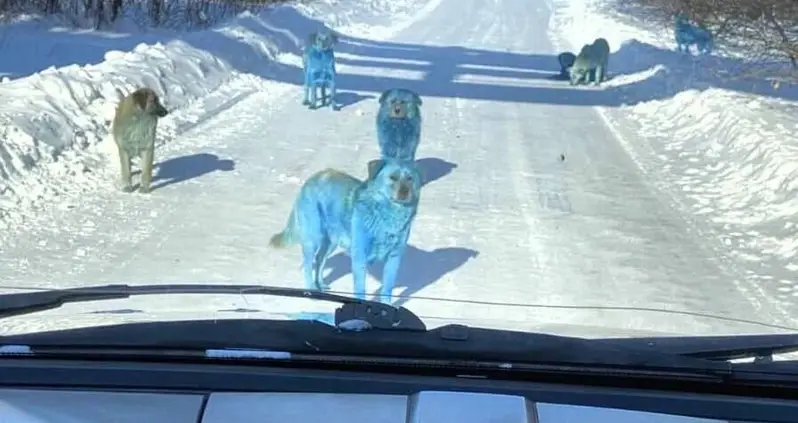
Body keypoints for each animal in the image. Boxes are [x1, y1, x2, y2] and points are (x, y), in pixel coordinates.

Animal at [270, 157, 424, 304]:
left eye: (410, 178)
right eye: (393, 177)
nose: (405, 192)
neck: (387, 215)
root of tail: (312, 178)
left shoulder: (394, 257)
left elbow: (387, 288)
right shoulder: (359, 256)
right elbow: (360, 288)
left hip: (331, 241)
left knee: (320, 259)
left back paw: (321, 286)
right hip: (313, 238)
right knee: (308, 265)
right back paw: (311, 291)